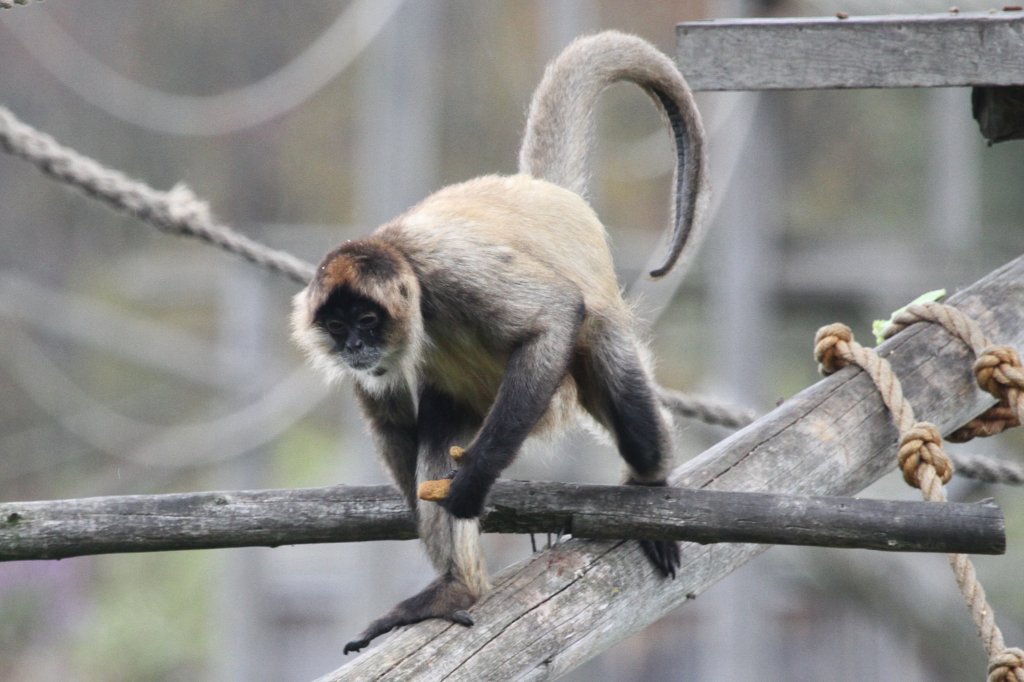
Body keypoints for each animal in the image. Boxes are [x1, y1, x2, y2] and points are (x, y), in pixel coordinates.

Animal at [288, 31, 704, 655]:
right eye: (338, 328)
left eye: (367, 319)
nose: (355, 347)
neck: (401, 255)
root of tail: (542, 190)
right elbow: (397, 431)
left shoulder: (448, 270)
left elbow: (555, 317)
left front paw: (475, 479)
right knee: (438, 432)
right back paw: (455, 588)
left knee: (625, 401)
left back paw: (648, 479)